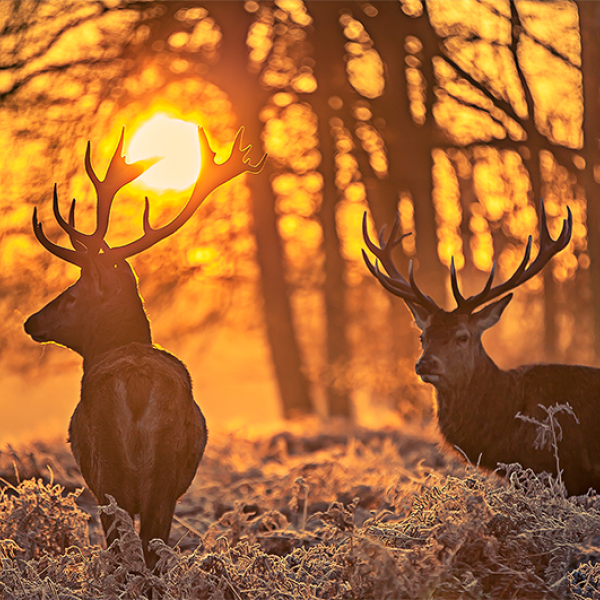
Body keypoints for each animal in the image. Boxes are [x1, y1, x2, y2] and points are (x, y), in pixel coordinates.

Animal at [25, 125, 264, 568]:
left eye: (72, 294)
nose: (31, 321)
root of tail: (135, 382)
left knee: (126, 552)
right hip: (163, 478)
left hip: (111, 471)